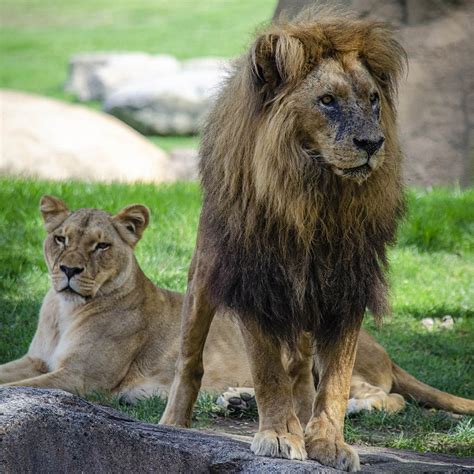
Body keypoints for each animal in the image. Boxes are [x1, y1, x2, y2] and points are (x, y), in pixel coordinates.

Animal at [159, 11, 408, 470]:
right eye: (327, 100)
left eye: (373, 100)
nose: (371, 143)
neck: (315, 197)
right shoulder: (253, 280)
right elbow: (267, 371)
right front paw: (278, 435)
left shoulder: (346, 285)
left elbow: (335, 378)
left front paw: (327, 441)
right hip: (204, 274)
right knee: (190, 358)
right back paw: (175, 423)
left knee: (303, 367)